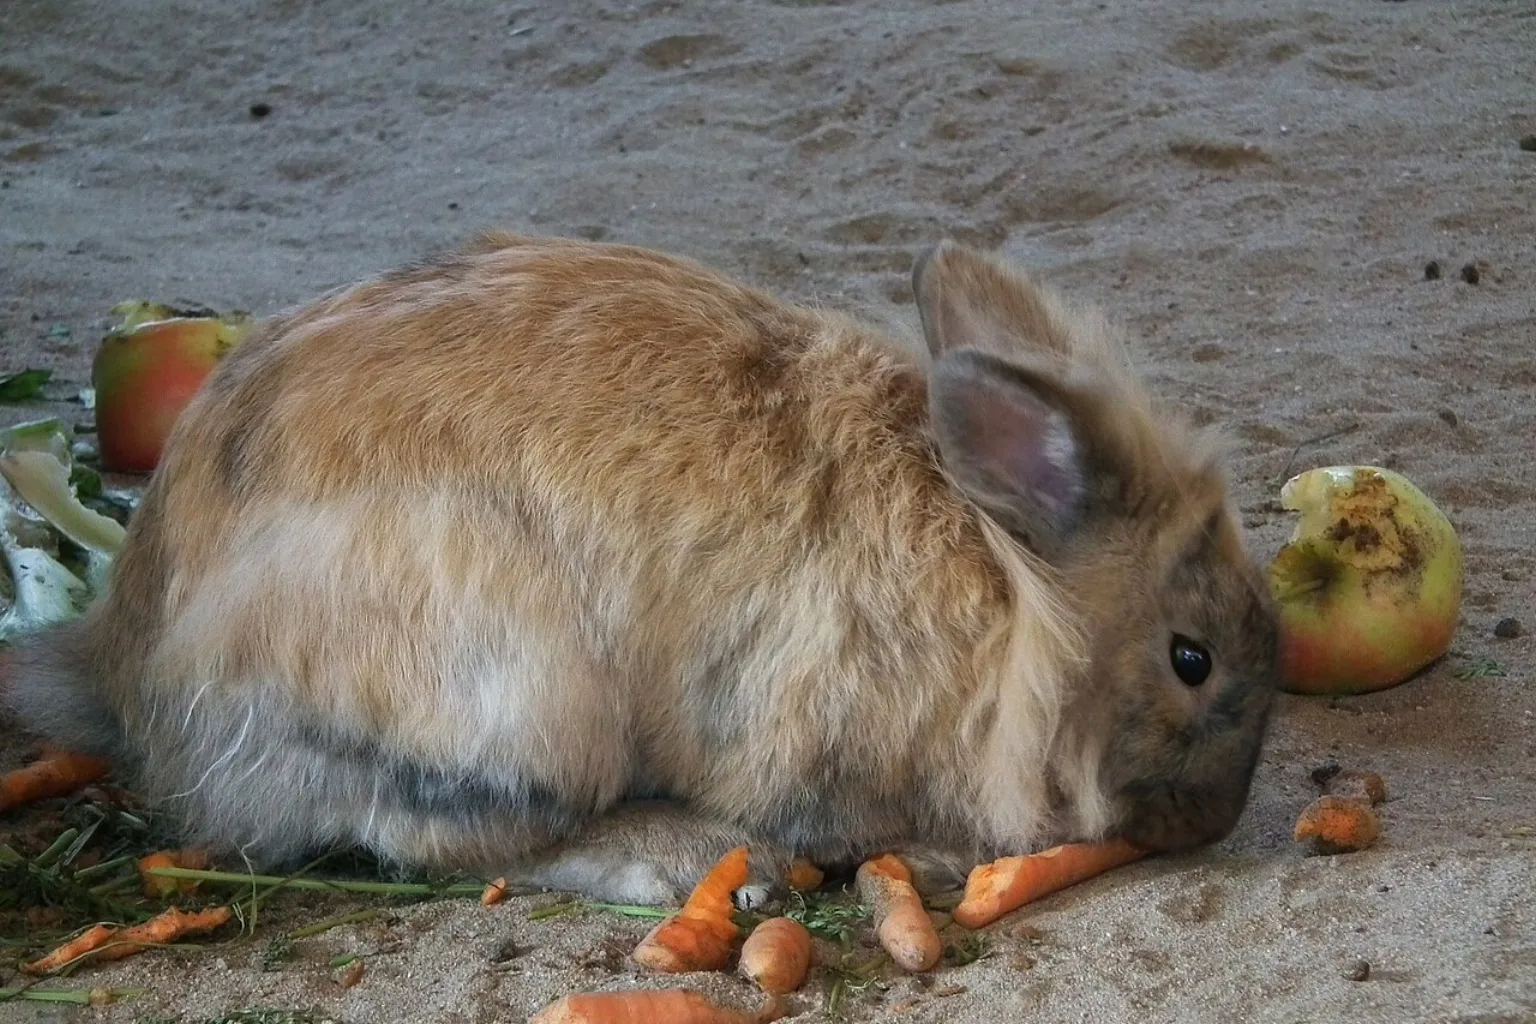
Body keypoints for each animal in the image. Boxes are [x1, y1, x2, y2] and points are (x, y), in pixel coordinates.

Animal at [2, 232, 1279, 906]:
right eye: (1191, 659)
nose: (1219, 818)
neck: (1012, 599)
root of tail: (133, 666)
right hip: (516, 697)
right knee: (448, 838)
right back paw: (687, 864)